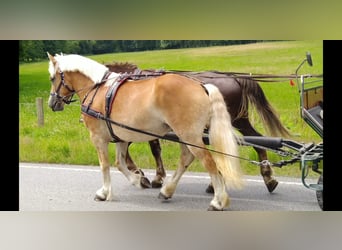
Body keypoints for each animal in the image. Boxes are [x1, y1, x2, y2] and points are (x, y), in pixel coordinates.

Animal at [47, 52, 243, 211]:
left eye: (52, 78)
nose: (52, 103)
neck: (98, 88)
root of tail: (202, 85)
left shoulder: (98, 137)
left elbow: (105, 165)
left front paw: (104, 192)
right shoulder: (121, 137)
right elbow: (120, 163)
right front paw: (138, 180)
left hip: (189, 135)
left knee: (209, 162)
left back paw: (218, 201)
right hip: (186, 135)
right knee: (186, 159)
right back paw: (167, 191)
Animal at [105, 61, 290, 193]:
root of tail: (233, 77)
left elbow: (142, 150)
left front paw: (143, 175)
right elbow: (152, 149)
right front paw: (147, 175)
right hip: (239, 121)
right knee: (256, 140)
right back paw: (266, 178)